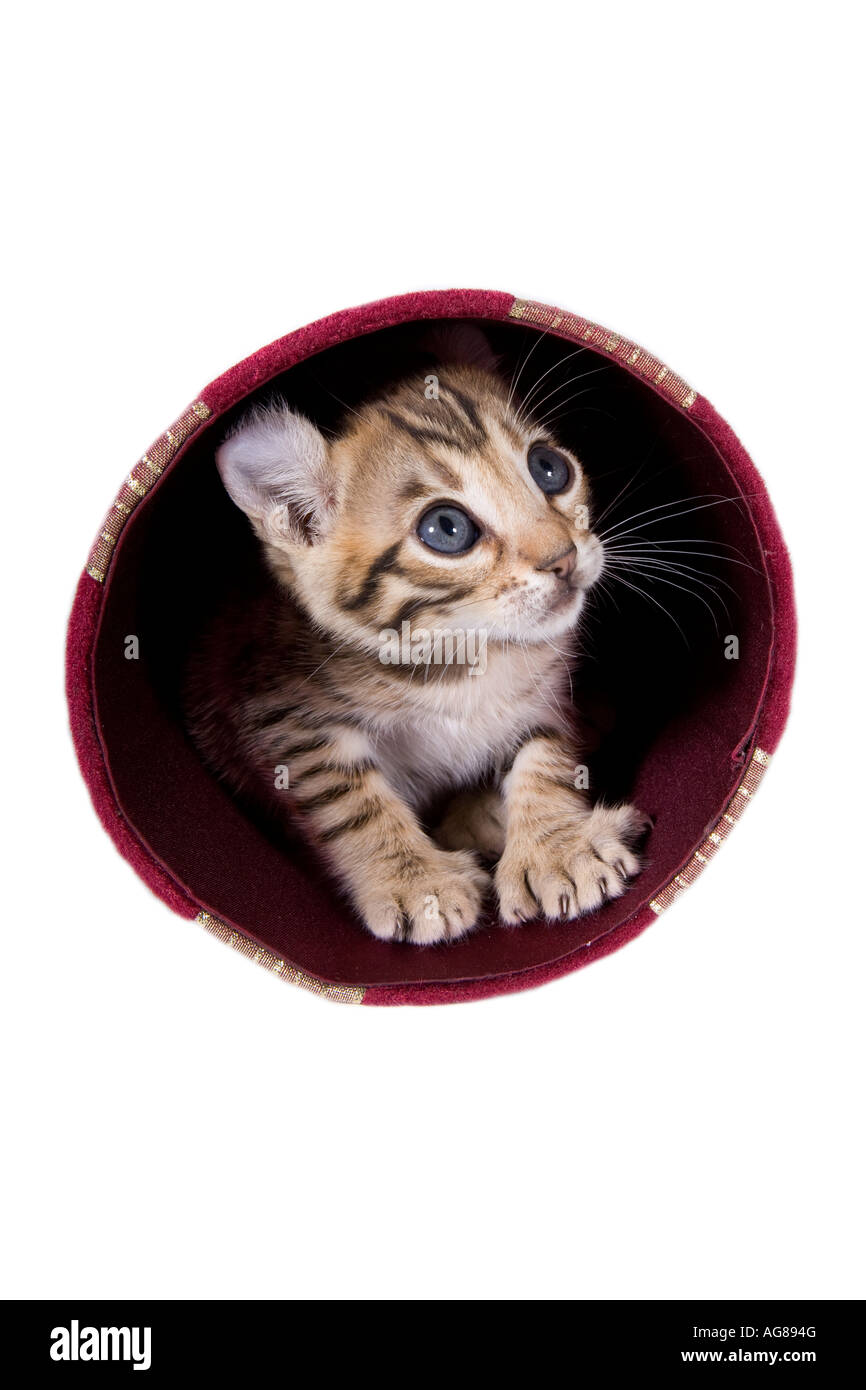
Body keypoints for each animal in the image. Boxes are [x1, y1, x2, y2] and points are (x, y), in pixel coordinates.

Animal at [186, 325, 647, 945]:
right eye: (446, 529)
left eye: (549, 467)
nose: (564, 558)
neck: (463, 654)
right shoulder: (281, 714)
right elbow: (347, 795)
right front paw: (414, 883)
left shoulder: (547, 692)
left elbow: (545, 751)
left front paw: (556, 847)